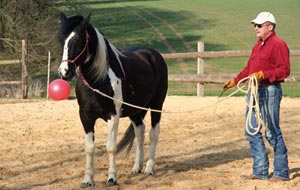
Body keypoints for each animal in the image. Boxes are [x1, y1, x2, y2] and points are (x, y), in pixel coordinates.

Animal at [56, 13, 169, 187]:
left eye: (78, 40)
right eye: (61, 41)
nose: (64, 72)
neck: (98, 79)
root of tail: (153, 55)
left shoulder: (113, 116)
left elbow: (111, 146)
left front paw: (111, 178)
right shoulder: (85, 116)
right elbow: (89, 147)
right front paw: (87, 180)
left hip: (157, 105)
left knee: (153, 134)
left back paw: (149, 169)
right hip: (135, 110)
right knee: (140, 132)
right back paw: (137, 167)